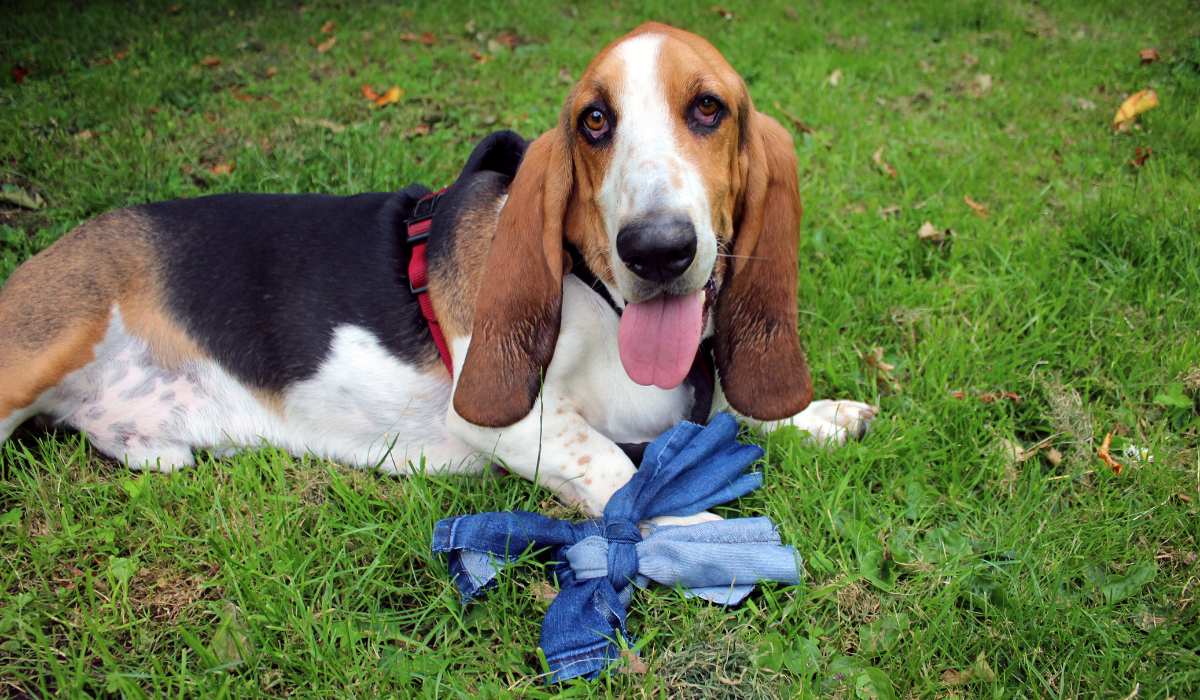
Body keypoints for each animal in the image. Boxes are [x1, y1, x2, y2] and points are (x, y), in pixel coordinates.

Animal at [0, 21, 878, 518]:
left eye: (708, 110)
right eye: (594, 121)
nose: (656, 248)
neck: (597, 295)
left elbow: (737, 403)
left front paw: (817, 415)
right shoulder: (510, 417)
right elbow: (615, 468)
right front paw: (694, 535)